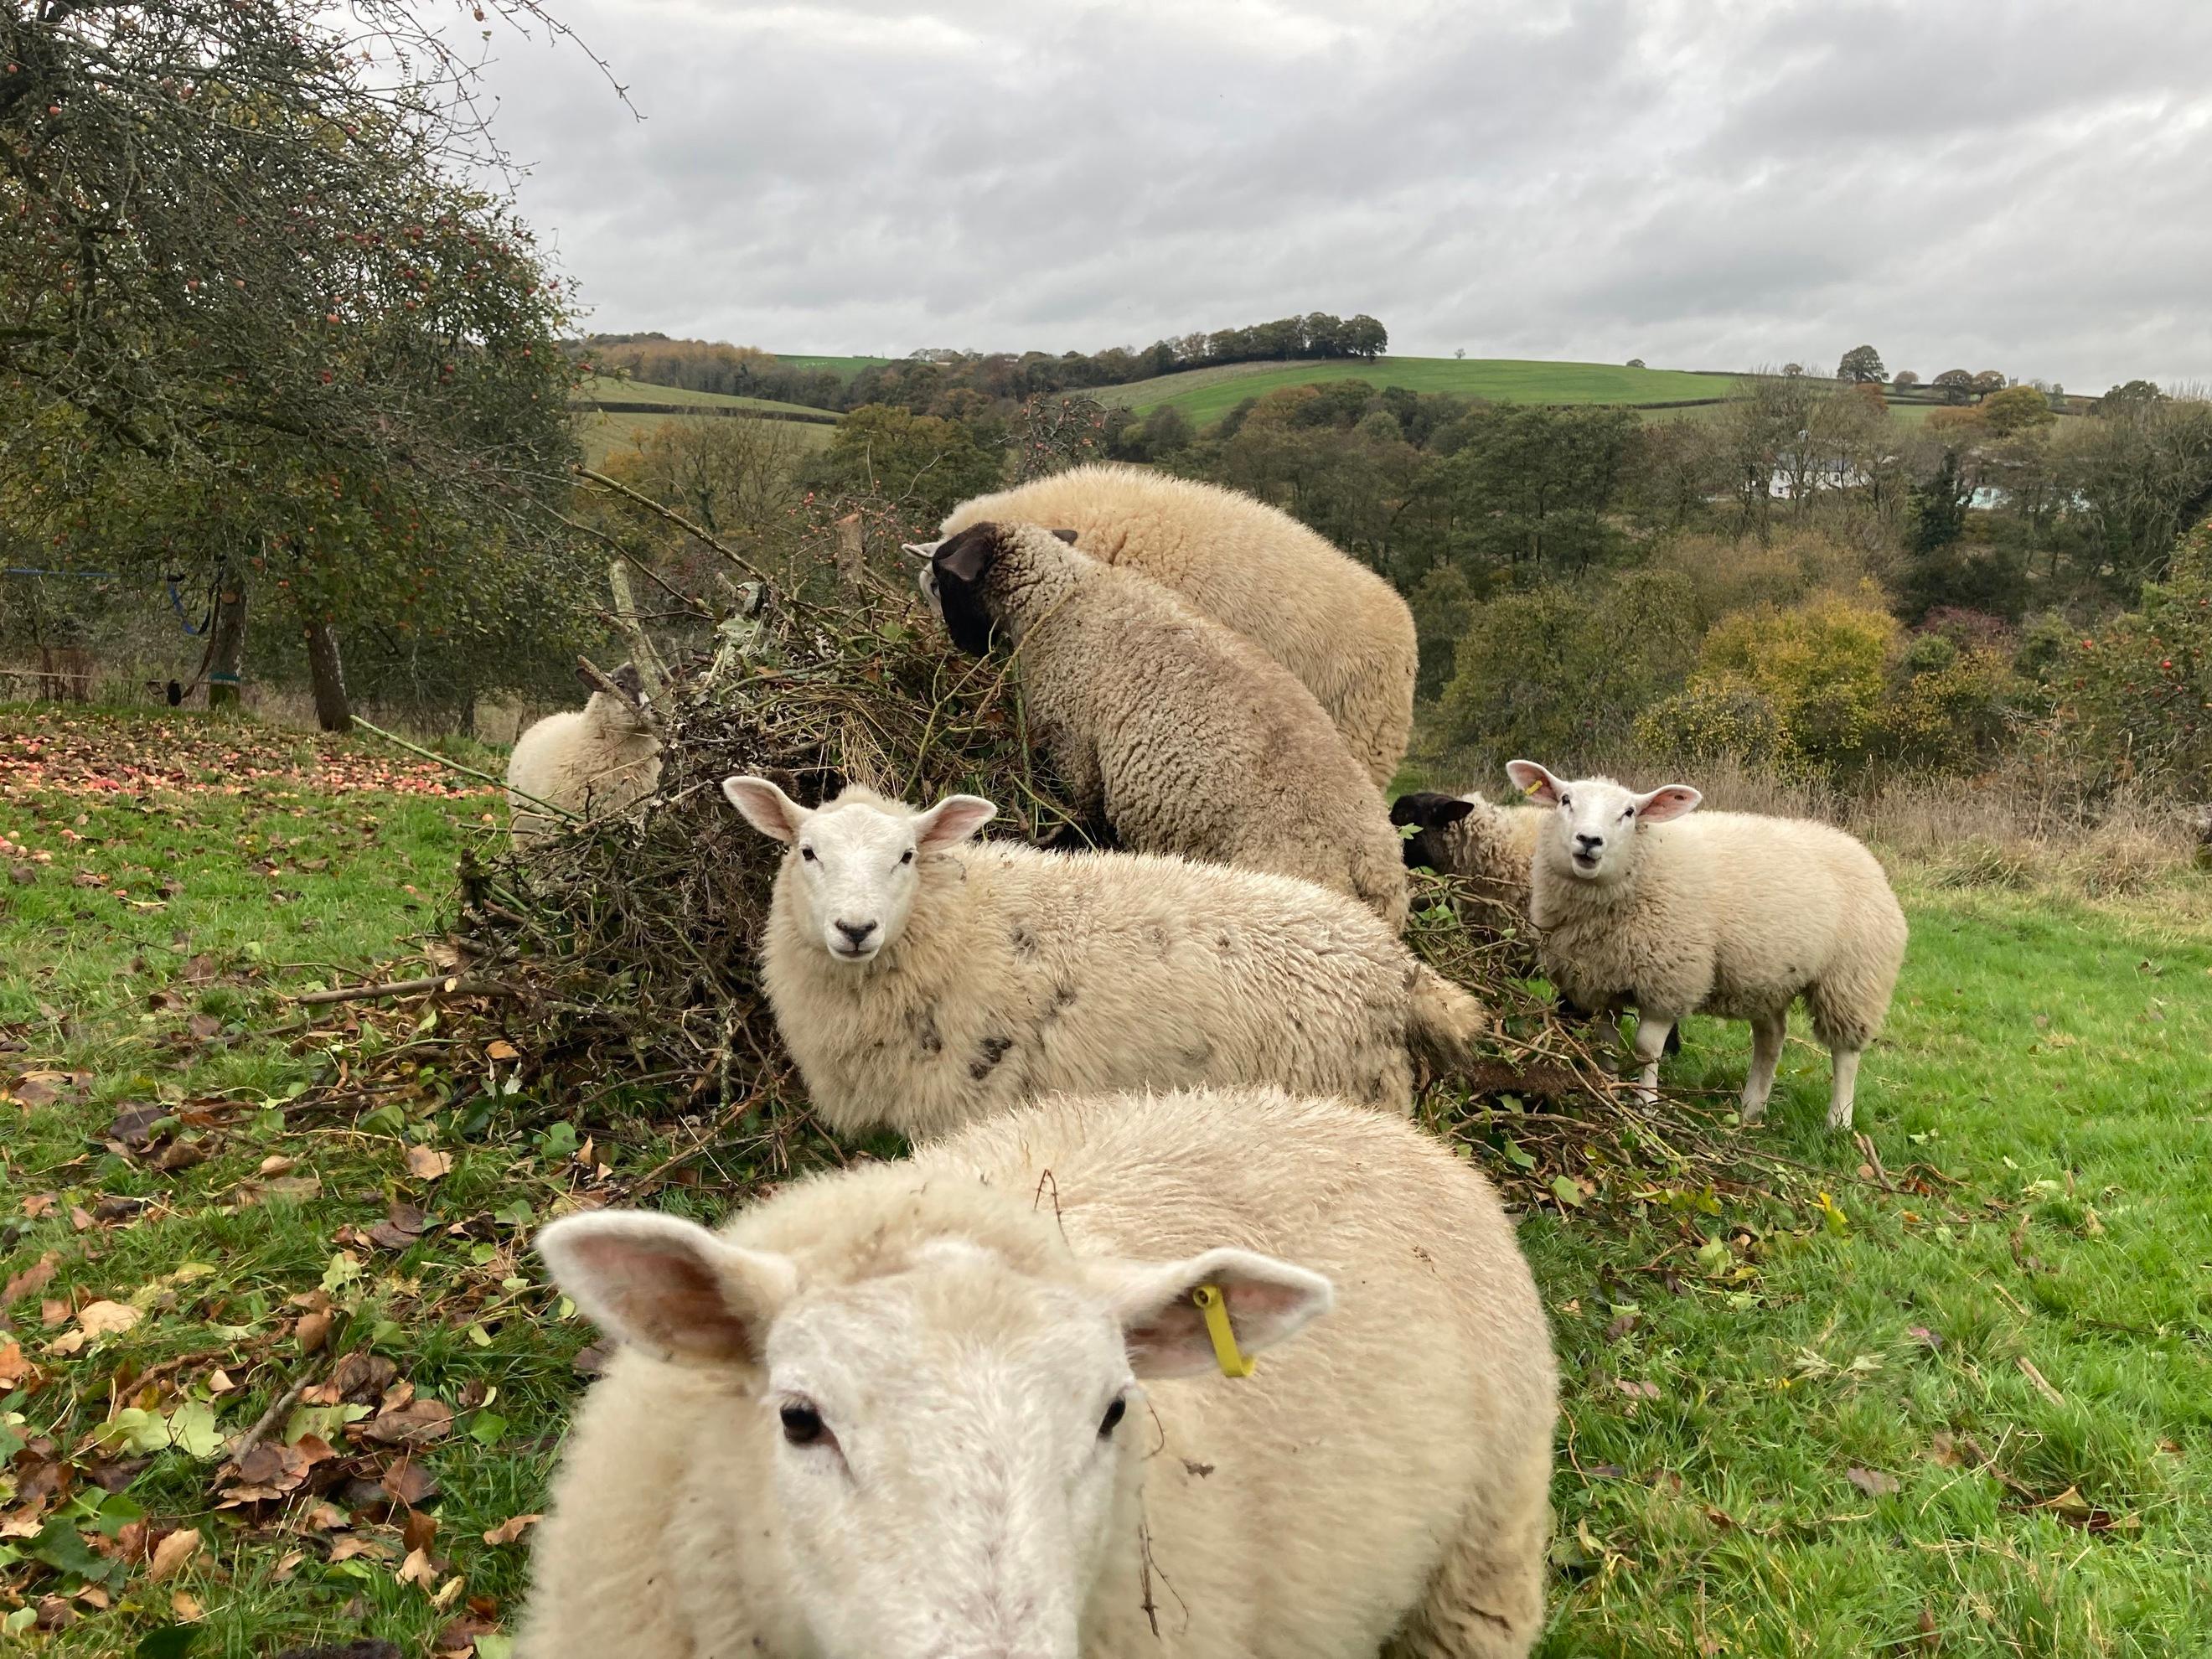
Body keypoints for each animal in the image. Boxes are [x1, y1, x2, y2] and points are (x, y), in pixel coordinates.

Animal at [917, 519, 1409, 927]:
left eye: (943, 579)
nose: (962, 644)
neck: (1061, 598)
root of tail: (1375, 867)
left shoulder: (1074, 748)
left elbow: (1079, 814)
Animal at [1504, 760, 1908, 1130]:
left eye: (1629, 812)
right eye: (1565, 800)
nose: (1589, 841)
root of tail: (1860, 850)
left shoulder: (1669, 980)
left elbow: (1647, 1049)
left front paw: (1646, 1108)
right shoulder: (1601, 981)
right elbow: (1607, 1043)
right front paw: (1608, 1090)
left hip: (1853, 978)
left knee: (1845, 1053)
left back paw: (1838, 1122)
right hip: (1767, 978)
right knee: (1771, 1038)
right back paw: (1751, 1109)